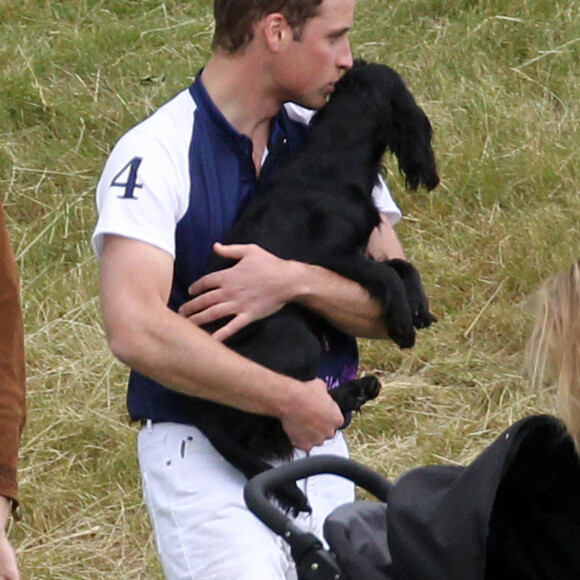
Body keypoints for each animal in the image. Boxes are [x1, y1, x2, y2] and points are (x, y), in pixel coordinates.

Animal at [185, 61, 436, 516]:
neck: (331, 162)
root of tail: (197, 408)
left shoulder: (360, 249)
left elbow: (401, 267)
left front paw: (418, 307)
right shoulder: (328, 256)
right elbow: (387, 275)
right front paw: (402, 323)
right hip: (295, 340)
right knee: (274, 427)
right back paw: (351, 394)